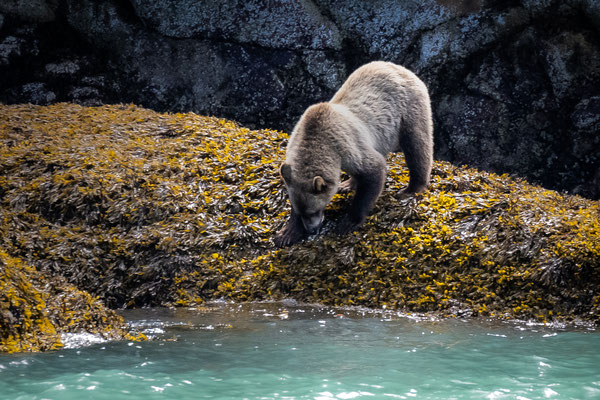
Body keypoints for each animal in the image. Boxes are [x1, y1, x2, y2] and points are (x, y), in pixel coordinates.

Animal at [274, 61, 434, 247]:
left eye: (315, 210)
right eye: (303, 212)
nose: (312, 229)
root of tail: (399, 67)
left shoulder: (345, 144)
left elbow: (373, 170)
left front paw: (348, 222)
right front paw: (286, 234)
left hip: (408, 109)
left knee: (417, 145)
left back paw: (412, 188)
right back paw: (347, 184)